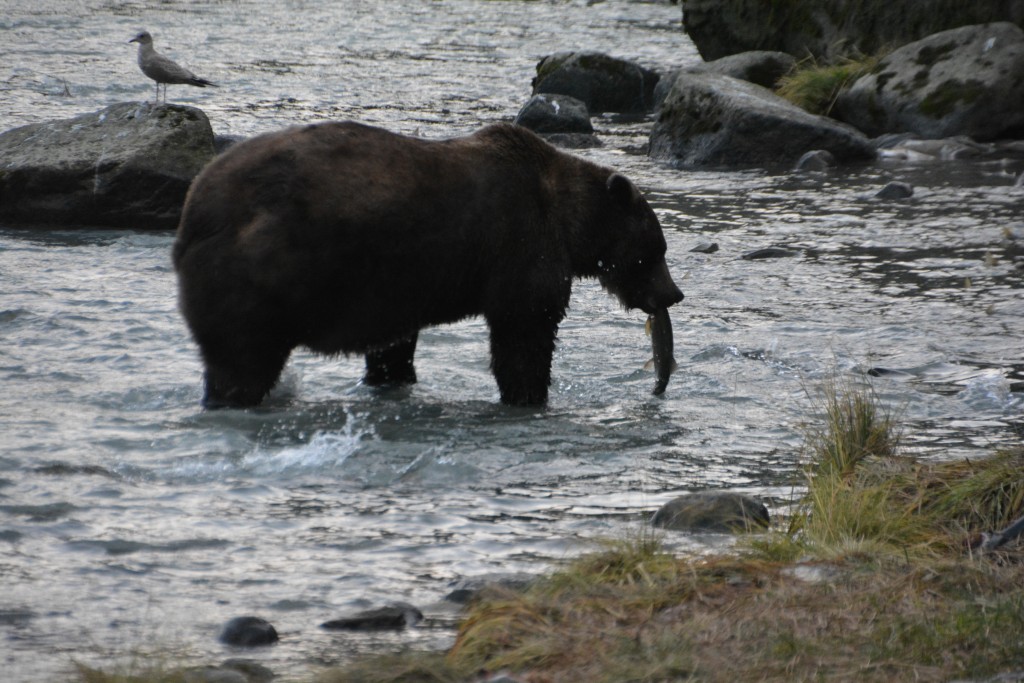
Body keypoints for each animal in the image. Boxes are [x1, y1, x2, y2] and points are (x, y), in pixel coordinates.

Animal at [172, 122, 684, 409]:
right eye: (656, 249)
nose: (673, 294)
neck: (571, 222)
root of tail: (196, 209)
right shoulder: (521, 244)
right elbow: (525, 332)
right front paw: (528, 395)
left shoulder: (395, 286)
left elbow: (393, 346)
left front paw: (391, 376)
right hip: (259, 278)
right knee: (242, 359)